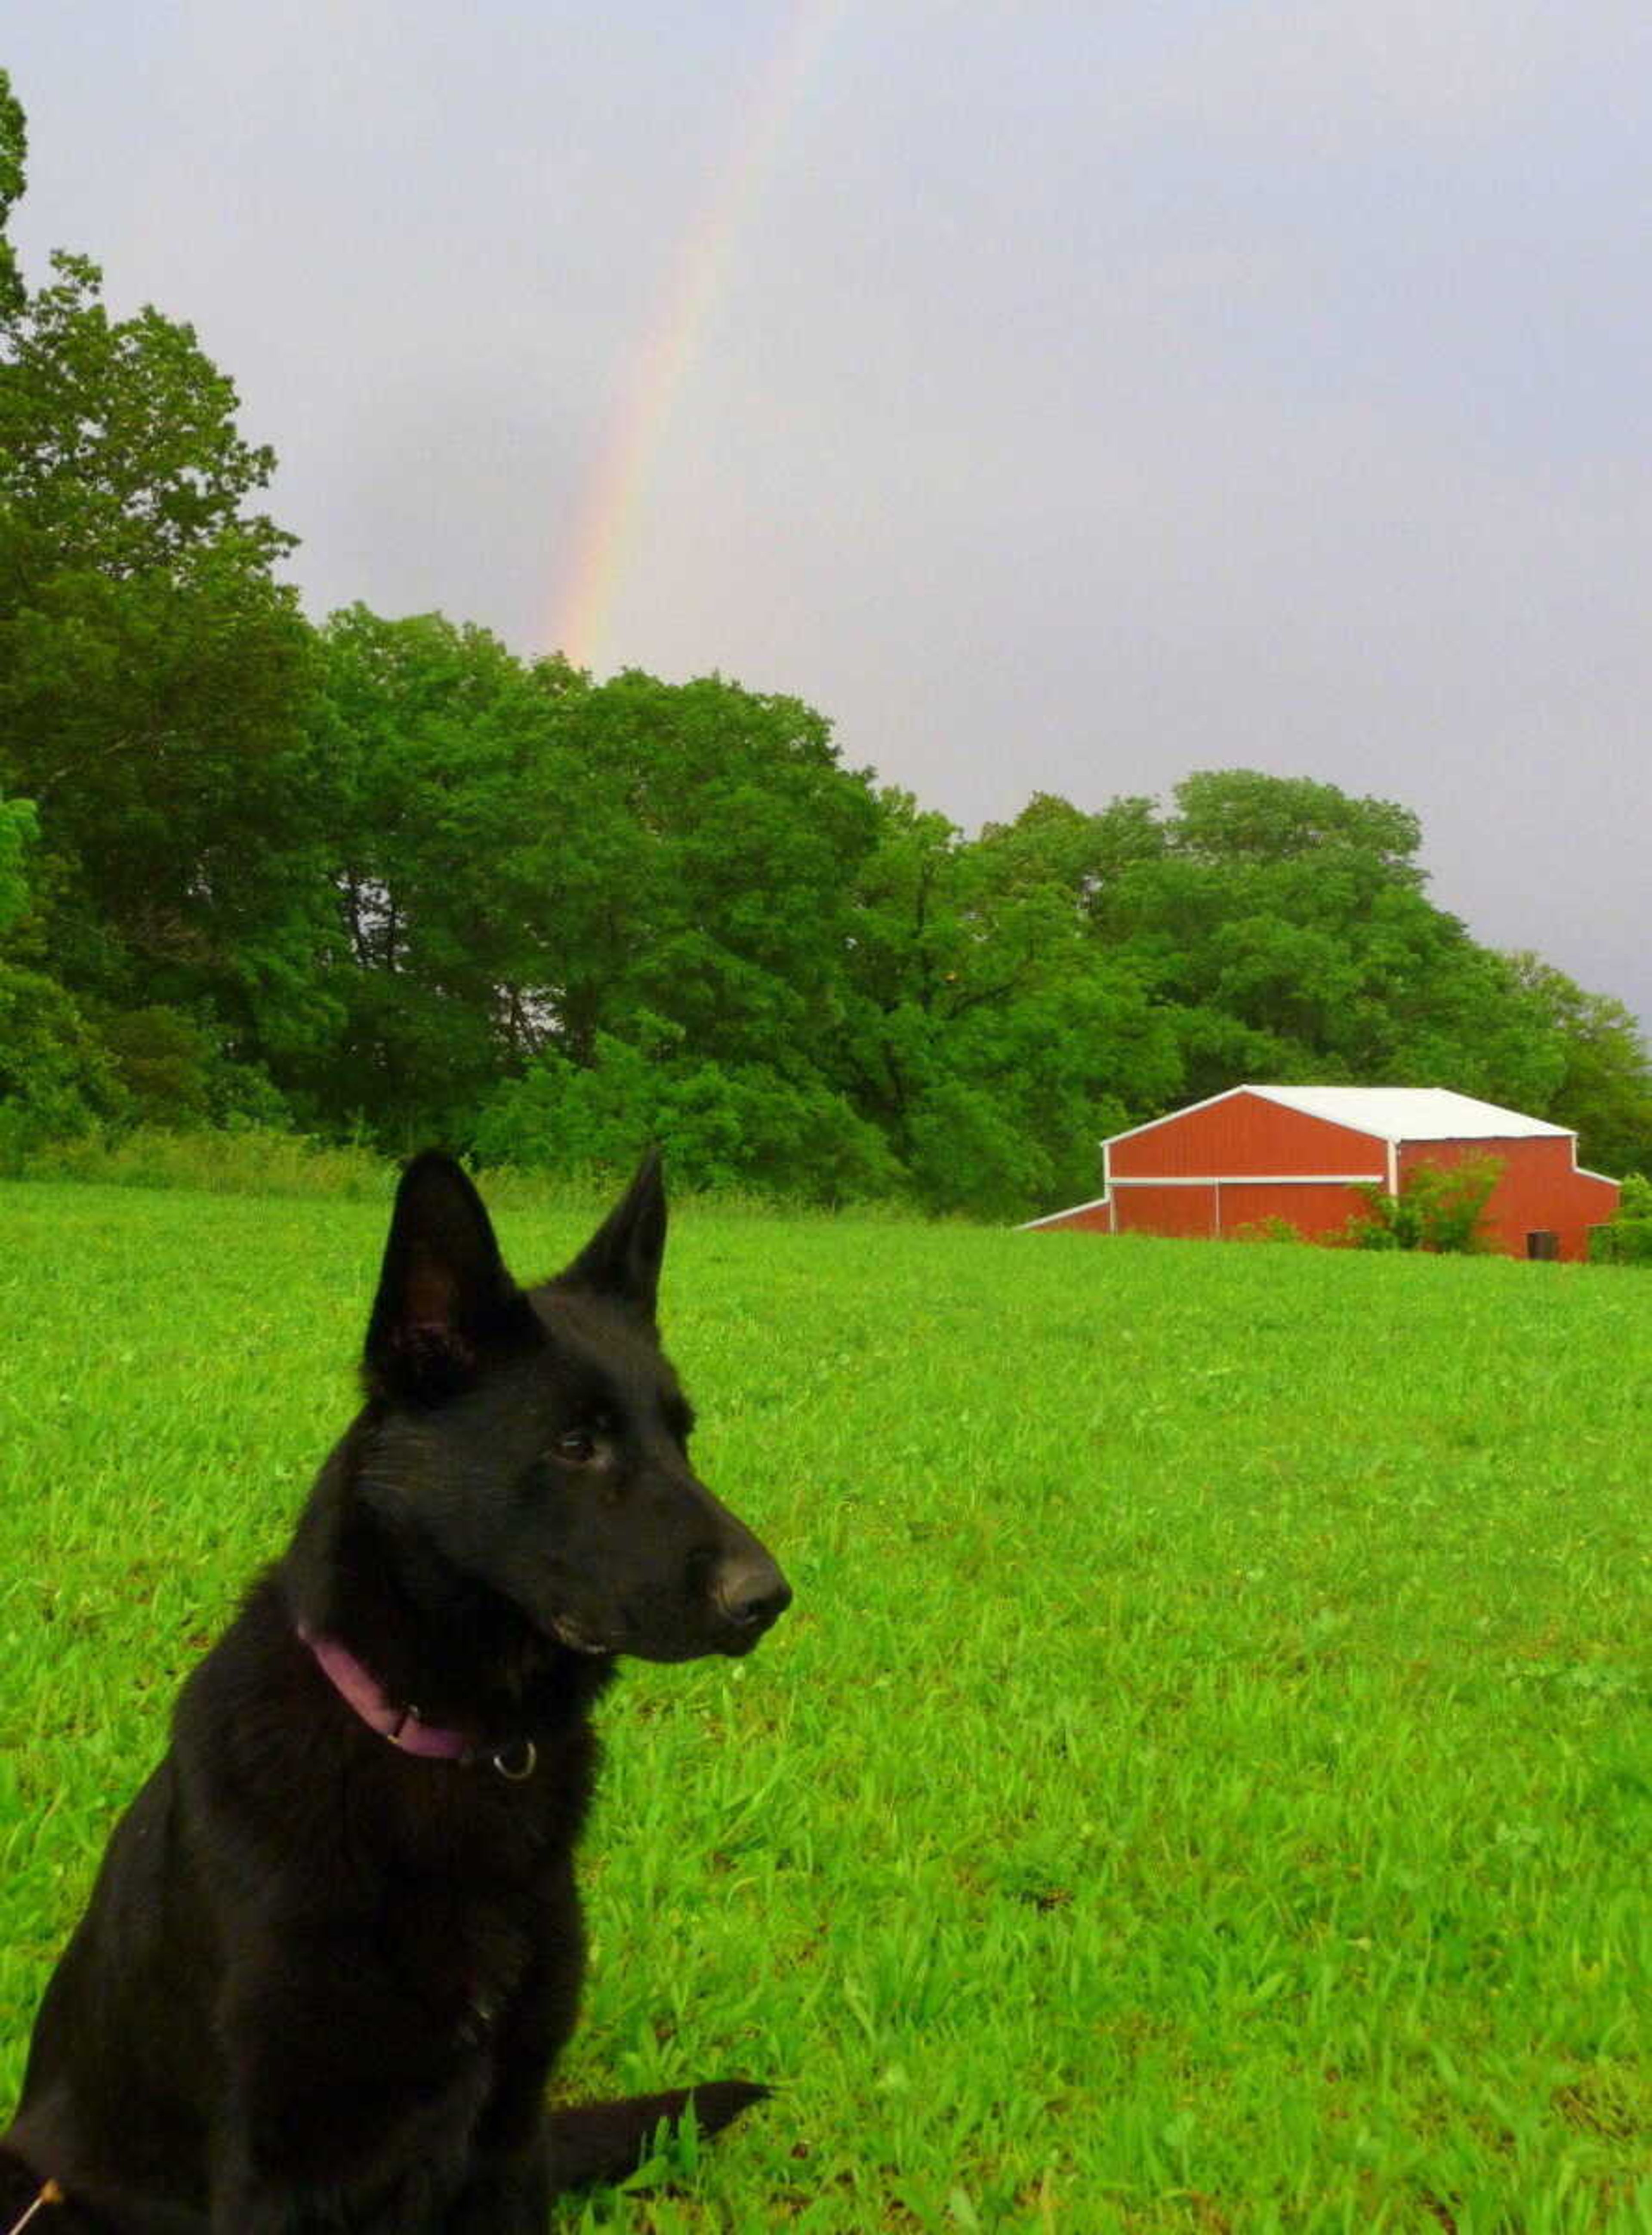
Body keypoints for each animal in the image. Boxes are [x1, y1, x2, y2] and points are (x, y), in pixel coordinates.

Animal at [1, 1144, 787, 2226]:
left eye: (682, 1435)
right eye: (575, 1442)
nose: (769, 1597)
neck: (445, 1741)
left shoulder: (508, 2133)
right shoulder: (270, 2162)